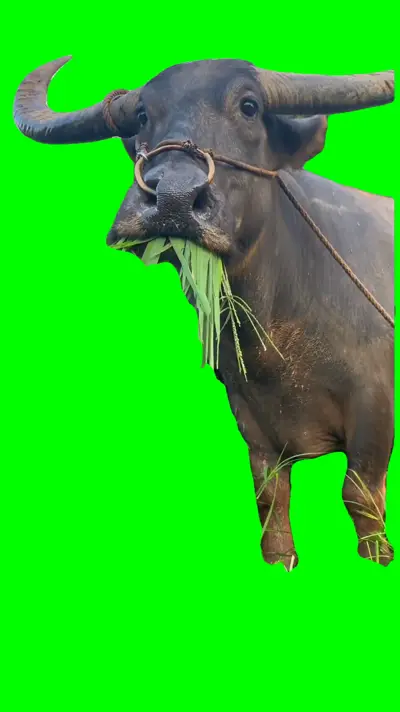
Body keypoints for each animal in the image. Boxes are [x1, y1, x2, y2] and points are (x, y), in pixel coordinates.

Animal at [14, 57, 395, 569]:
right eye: (141, 116)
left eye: (250, 107)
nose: (172, 198)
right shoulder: (250, 414)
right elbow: (270, 495)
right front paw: (280, 559)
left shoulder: (375, 407)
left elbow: (360, 495)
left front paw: (378, 559)